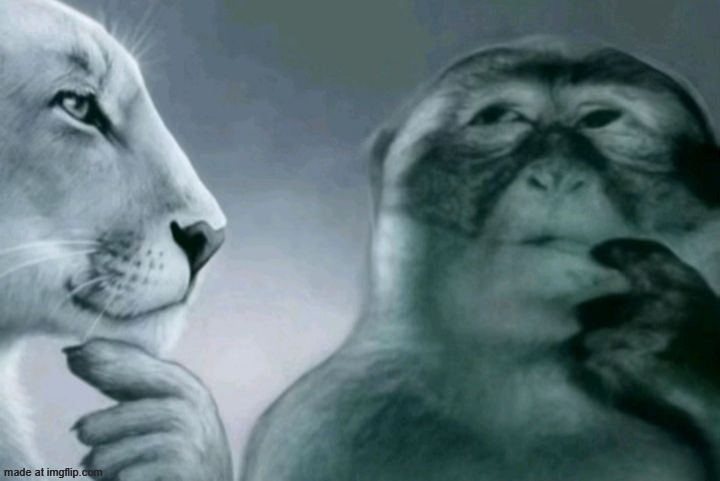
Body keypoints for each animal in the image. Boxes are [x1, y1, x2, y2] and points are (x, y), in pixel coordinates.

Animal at [239, 38, 720, 481]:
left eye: (600, 120)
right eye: (503, 118)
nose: (557, 174)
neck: (522, 383)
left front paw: (684, 345)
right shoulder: (315, 427)